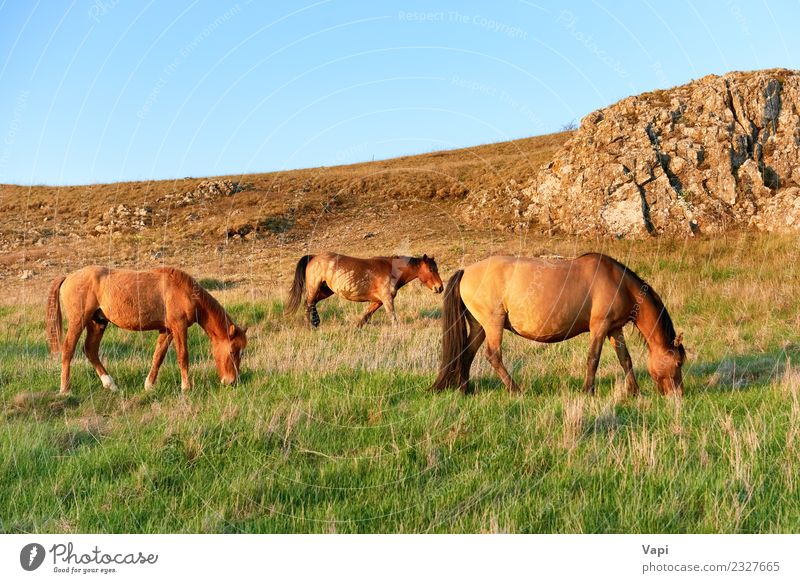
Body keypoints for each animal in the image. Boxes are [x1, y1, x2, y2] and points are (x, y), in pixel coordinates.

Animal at [46, 266, 247, 394]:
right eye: (233, 351)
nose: (232, 381)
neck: (184, 291)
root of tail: (68, 277)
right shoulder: (179, 327)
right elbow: (183, 356)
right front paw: (186, 387)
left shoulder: (167, 331)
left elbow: (158, 357)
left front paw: (149, 385)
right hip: (78, 322)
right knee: (68, 350)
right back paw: (65, 389)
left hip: (98, 323)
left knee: (90, 350)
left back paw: (110, 385)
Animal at [284, 253, 444, 328]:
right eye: (431, 269)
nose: (440, 288)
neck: (391, 270)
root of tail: (314, 257)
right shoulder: (387, 300)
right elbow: (393, 317)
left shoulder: (377, 301)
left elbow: (365, 316)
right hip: (314, 288)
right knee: (308, 304)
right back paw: (310, 325)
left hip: (325, 290)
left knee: (312, 304)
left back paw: (316, 322)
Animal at [432, 254, 688, 396]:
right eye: (678, 362)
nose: (678, 394)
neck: (618, 283)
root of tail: (466, 271)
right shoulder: (600, 327)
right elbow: (593, 359)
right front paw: (588, 390)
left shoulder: (615, 329)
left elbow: (625, 359)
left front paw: (635, 392)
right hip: (493, 324)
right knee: (493, 356)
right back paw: (515, 390)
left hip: (479, 327)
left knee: (466, 353)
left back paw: (465, 390)